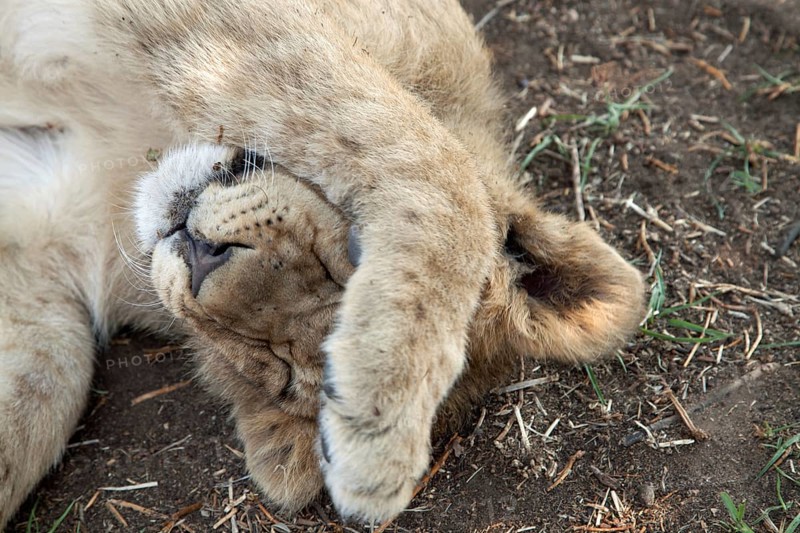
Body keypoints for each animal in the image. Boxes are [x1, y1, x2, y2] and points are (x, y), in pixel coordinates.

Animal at [0, 0, 645, 526]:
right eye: (348, 261)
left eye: (273, 364)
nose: (201, 256)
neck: (128, 162)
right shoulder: (252, 32)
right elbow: (442, 173)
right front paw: (384, 423)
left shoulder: (38, 264)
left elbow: (39, 397)